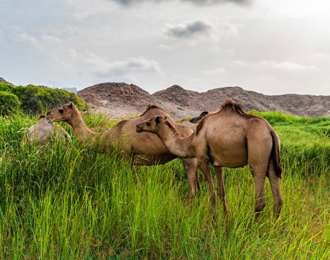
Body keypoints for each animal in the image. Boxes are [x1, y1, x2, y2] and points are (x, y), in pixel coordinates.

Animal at [45, 102, 199, 200]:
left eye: (61, 109)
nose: (47, 114)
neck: (107, 137)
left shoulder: (124, 156)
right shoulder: (130, 159)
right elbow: (136, 182)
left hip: (189, 160)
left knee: (193, 189)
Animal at [137, 98, 284, 218]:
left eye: (149, 122)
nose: (138, 126)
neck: (191, 141)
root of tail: (271, 131)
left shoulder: (203, 159)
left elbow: (212, 192)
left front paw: (214, 221)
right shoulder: (218, 163)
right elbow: (222, 193)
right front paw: (225, 218)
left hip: (258, 152)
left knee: (260, 199)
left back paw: (252, 227)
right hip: (272, 159)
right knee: (278, 199)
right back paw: (272, 227)